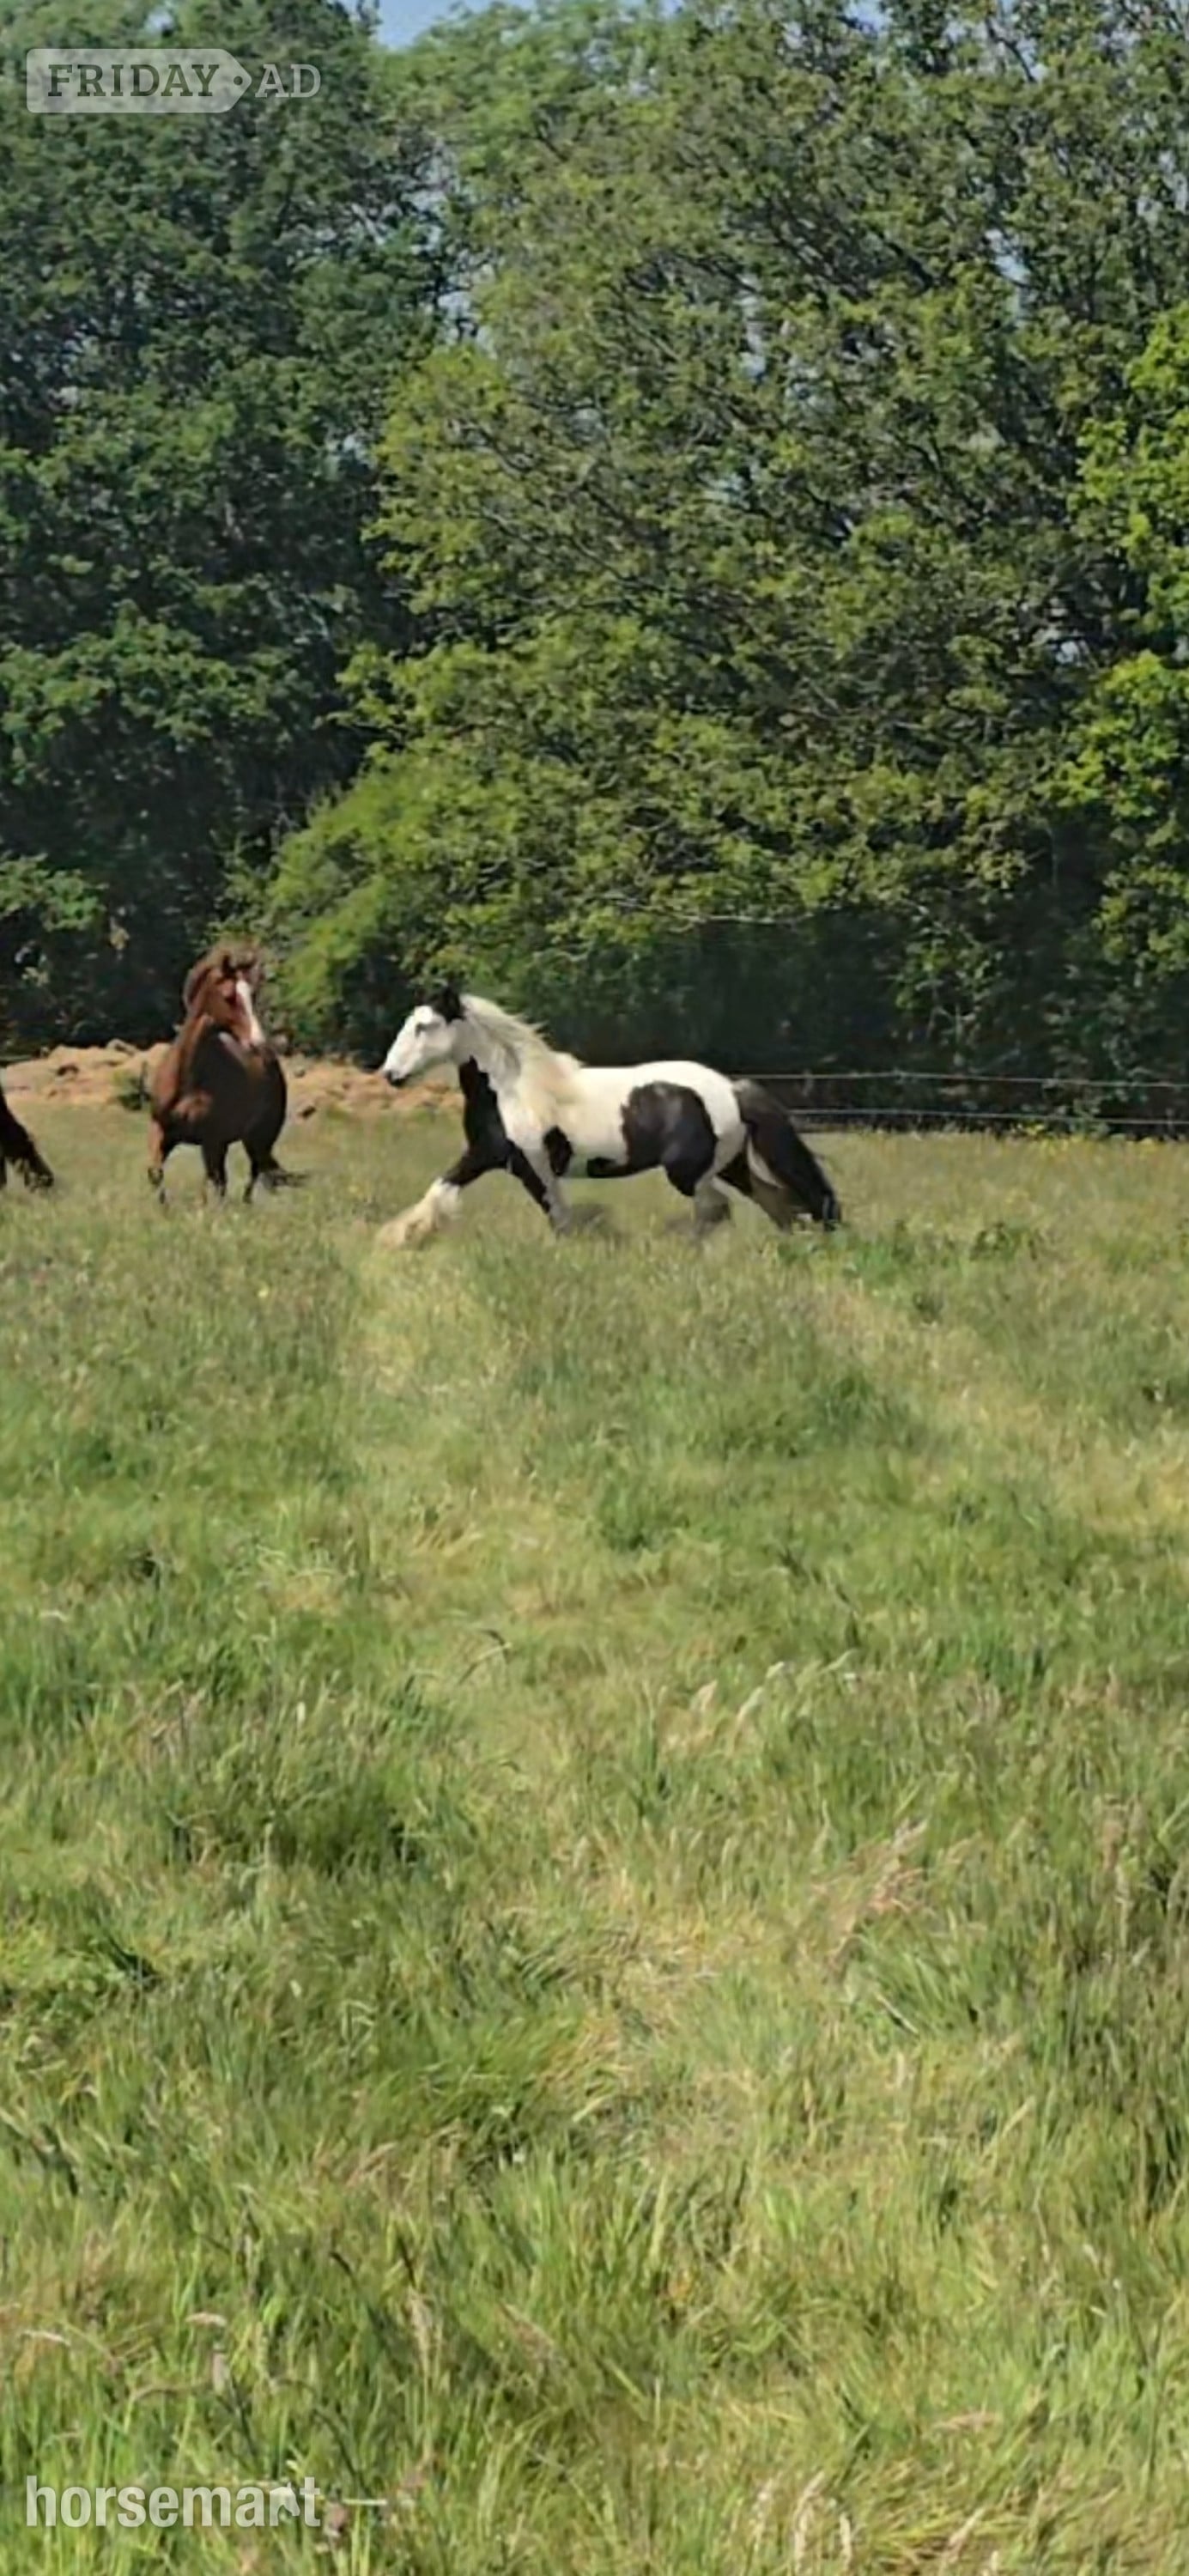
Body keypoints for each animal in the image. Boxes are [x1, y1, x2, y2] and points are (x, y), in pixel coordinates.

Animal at [148, 944, 296, 1203]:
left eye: (253, 996)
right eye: (229, 996)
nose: (258, 1042)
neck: (188, 1079)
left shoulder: (213, 1141)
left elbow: (214, 1184)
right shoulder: (162, 1130)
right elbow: (156, 1174)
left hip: (259, 1137)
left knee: (253, 1173)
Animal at [376, 984, 841, 1248]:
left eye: (424, 1027)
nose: (391, 1075)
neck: (513, 1089)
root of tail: (731, 1089)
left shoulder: (531, 1165)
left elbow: (560, 1218)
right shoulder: (486, 1155)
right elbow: (439, 1191)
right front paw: (397, 1239)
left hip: (688, 1172)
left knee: (717, 1210)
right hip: (731, 1165)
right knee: (776, 1202)